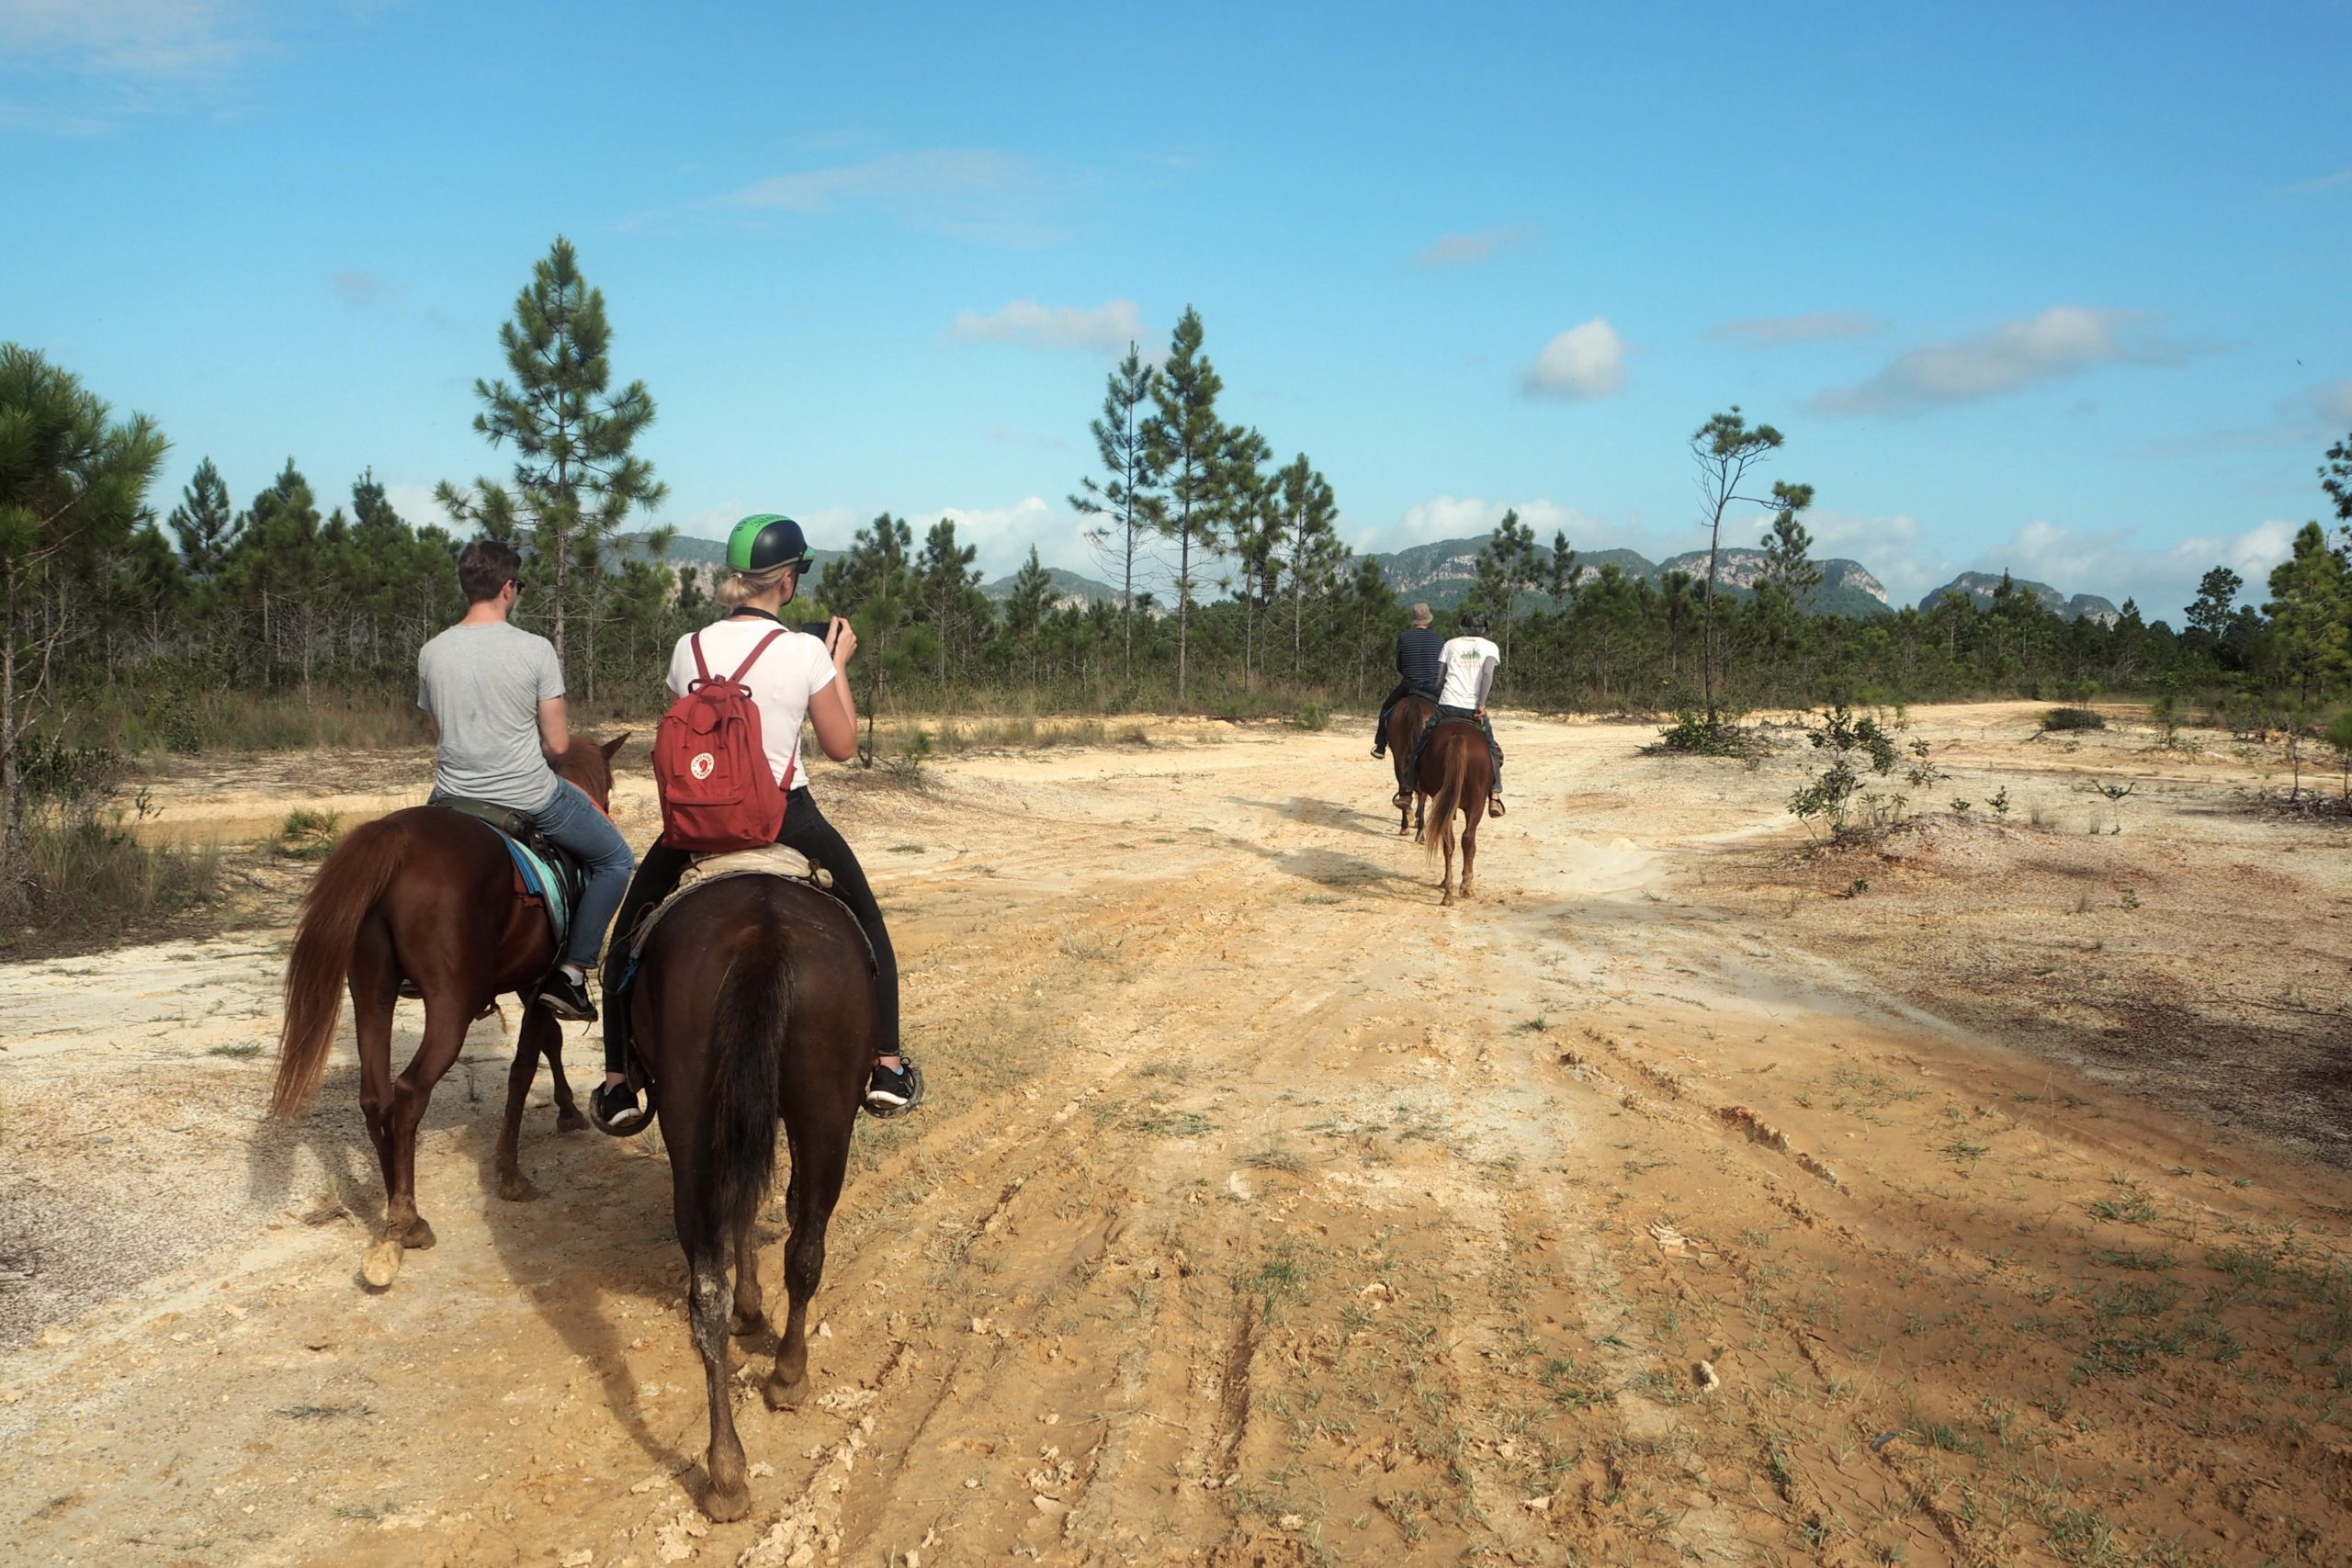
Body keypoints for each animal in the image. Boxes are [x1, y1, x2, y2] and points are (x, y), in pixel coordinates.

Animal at [269, 738, 625, 1288]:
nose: (606, 808)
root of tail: (397, 838)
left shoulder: (529, 985)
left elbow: (547, 1044)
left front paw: (565, 1110)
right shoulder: (541, 983)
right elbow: (525, 1066)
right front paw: (510, 1172)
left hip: (372, 992)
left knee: (376, 1097)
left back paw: (399, 1210)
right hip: (449, 1006)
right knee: (410, 1091)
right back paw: (406, 1220)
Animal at [630, 869, 879, 1523]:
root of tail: (762, 936)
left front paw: (748, 1309)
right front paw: (757, 1317)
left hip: (699, 1120)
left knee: (711, 1289)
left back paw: (725, 1471)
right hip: (822, 1114)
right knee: (804, 1247)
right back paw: (787, 1379)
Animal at [1374, 695, 1430, 841]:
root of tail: (1415, 706)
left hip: (1399, 755)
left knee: (1403, 786)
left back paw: (1406, 825)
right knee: (1418, 791)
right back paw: (1418, 830)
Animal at [1411, 719, 1486, 907]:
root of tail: (1458, 737)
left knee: (1448, 843)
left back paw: (1448, 892)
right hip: (1478, 804)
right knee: (1467, 839)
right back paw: (1466, 887)